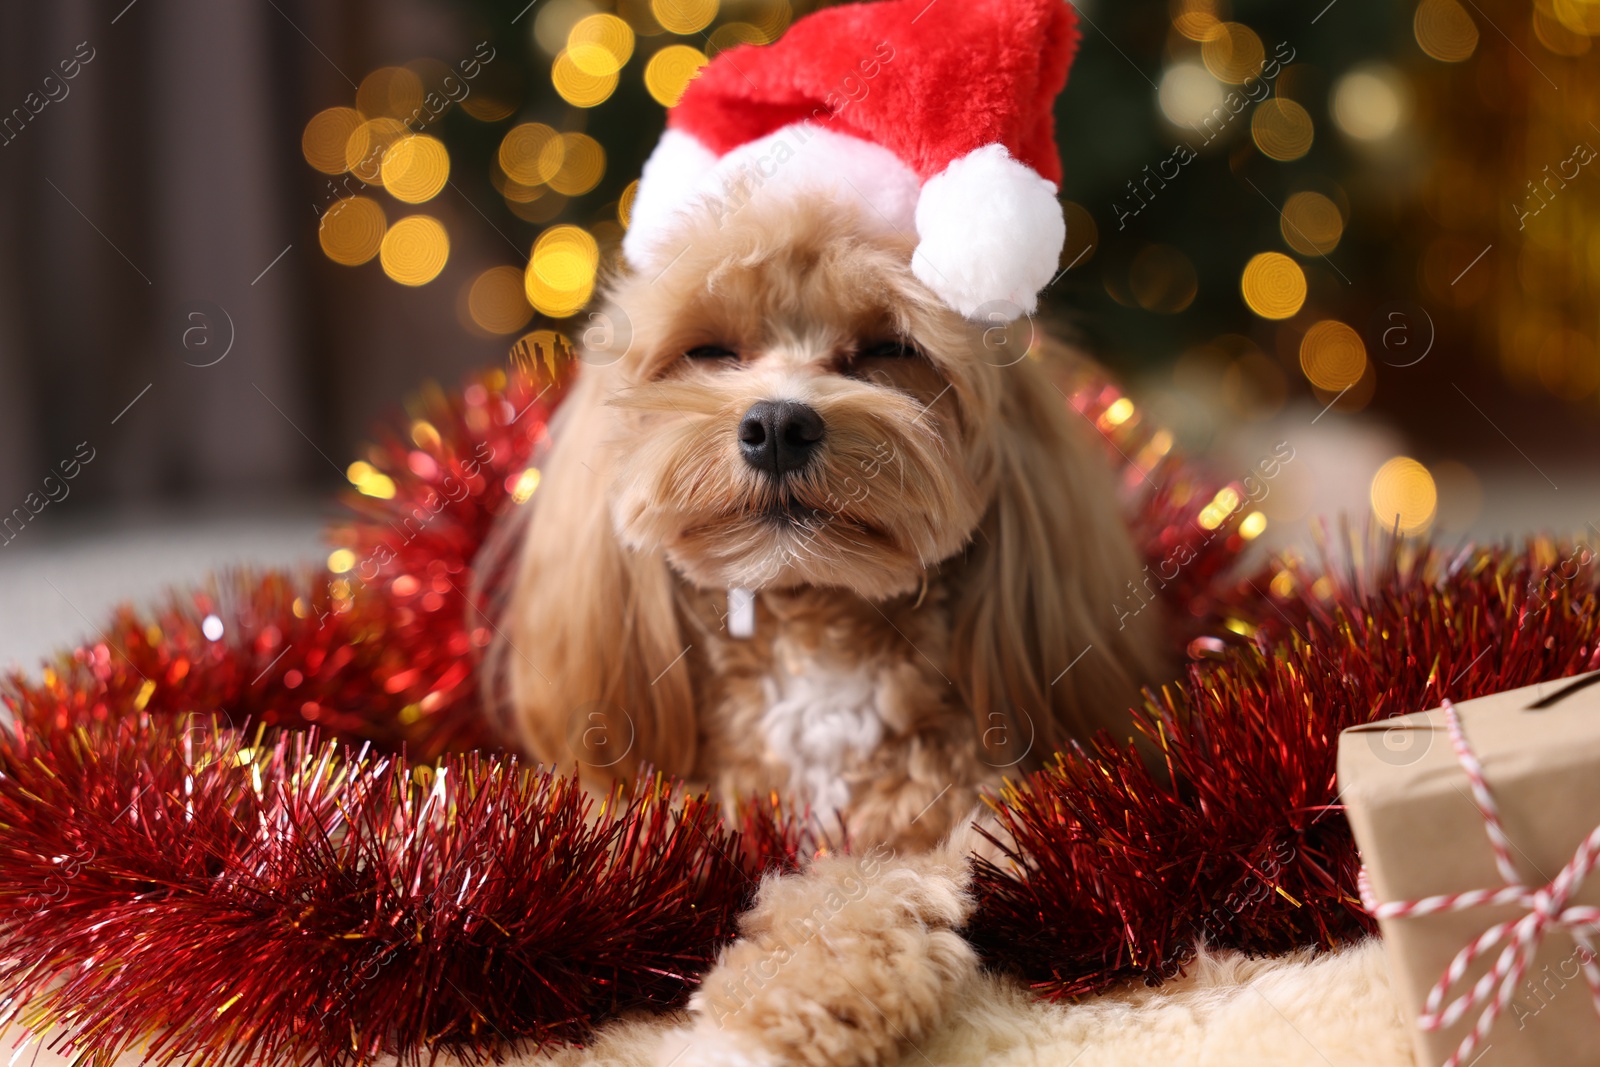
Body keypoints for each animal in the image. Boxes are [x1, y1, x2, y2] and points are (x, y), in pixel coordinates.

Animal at [486, 194, 1164, 1067]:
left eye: (888, 348)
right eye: (710, 350)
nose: (778, 423)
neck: (816, 632)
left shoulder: (952, 810)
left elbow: (856, 887)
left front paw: (793, 996)